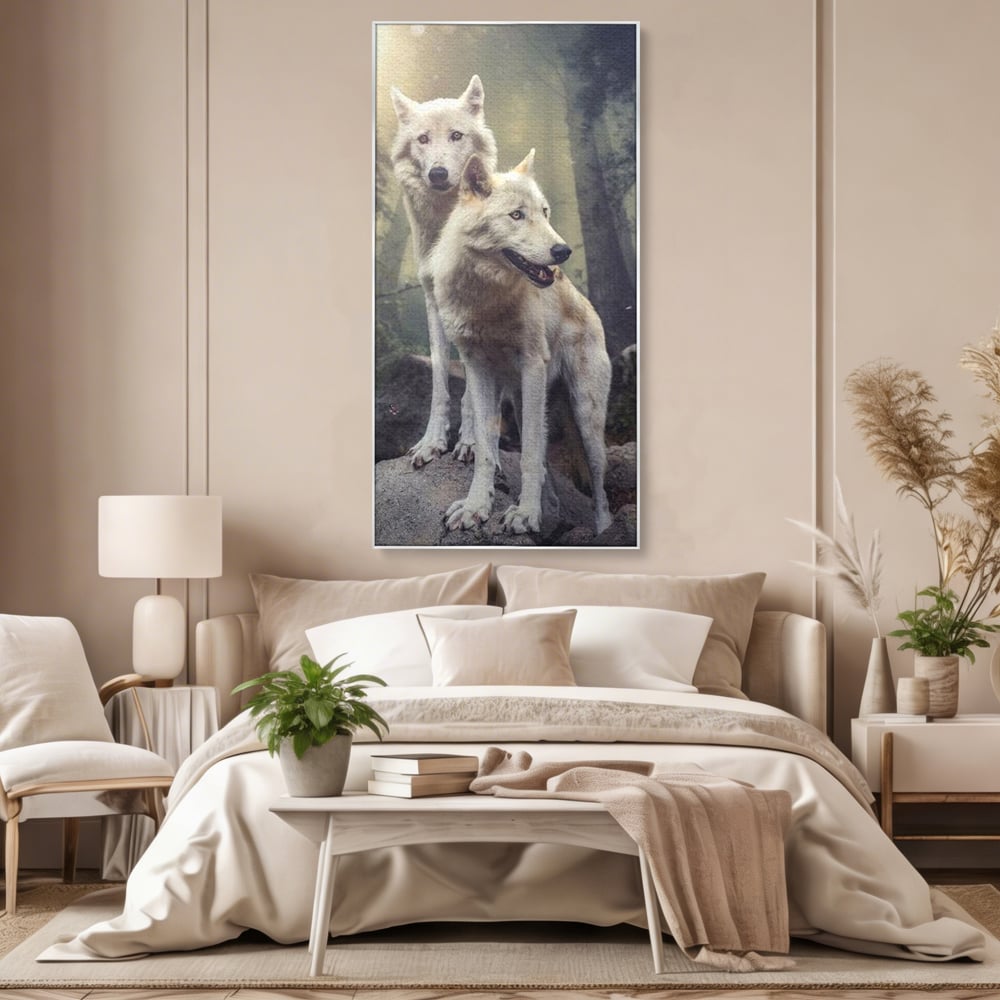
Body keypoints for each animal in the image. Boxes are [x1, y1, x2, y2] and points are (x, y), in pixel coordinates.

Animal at [389, 75, 498, 467]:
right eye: (423, 139)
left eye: (456, 135)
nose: (438, 174)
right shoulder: (434, 303)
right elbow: (439, 381)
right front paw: (431, 442)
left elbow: (473, 389)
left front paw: (470, 442)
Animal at [429, 149, 613, 536]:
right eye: (516, 215)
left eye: (544, 212)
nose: (563, 251)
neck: (487, 298)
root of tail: (588, 305)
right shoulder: (478, 370)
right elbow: (486, 450)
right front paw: (476, 508)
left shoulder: (532, 366)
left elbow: (527, 454)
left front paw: (525, 515)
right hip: (523, 398)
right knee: (545, 465)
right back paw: (552, 512)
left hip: (585, 417)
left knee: (598, 484)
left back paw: (604, 530)